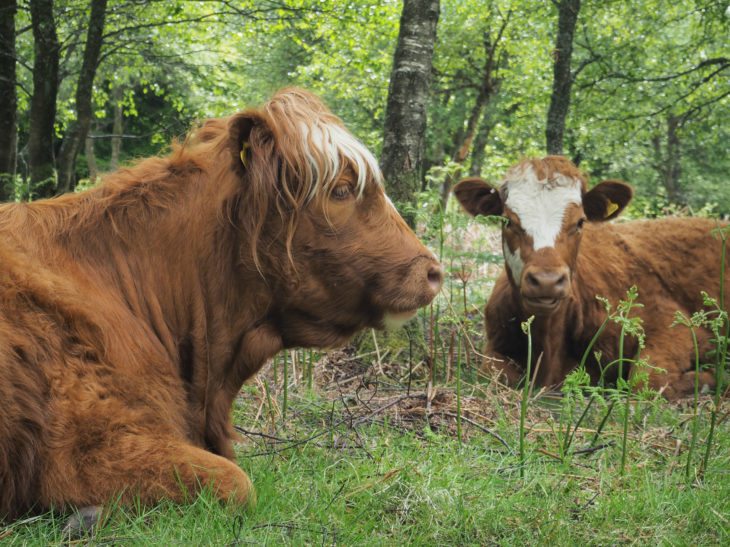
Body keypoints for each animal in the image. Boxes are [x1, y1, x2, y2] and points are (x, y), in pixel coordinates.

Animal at [452, 156, 724, 400]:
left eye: (580, 222)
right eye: (508, 220)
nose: (547, 280)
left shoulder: (681, 327)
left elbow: (646, 379)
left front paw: (709, 377)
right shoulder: (495, 343)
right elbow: (491, 373)